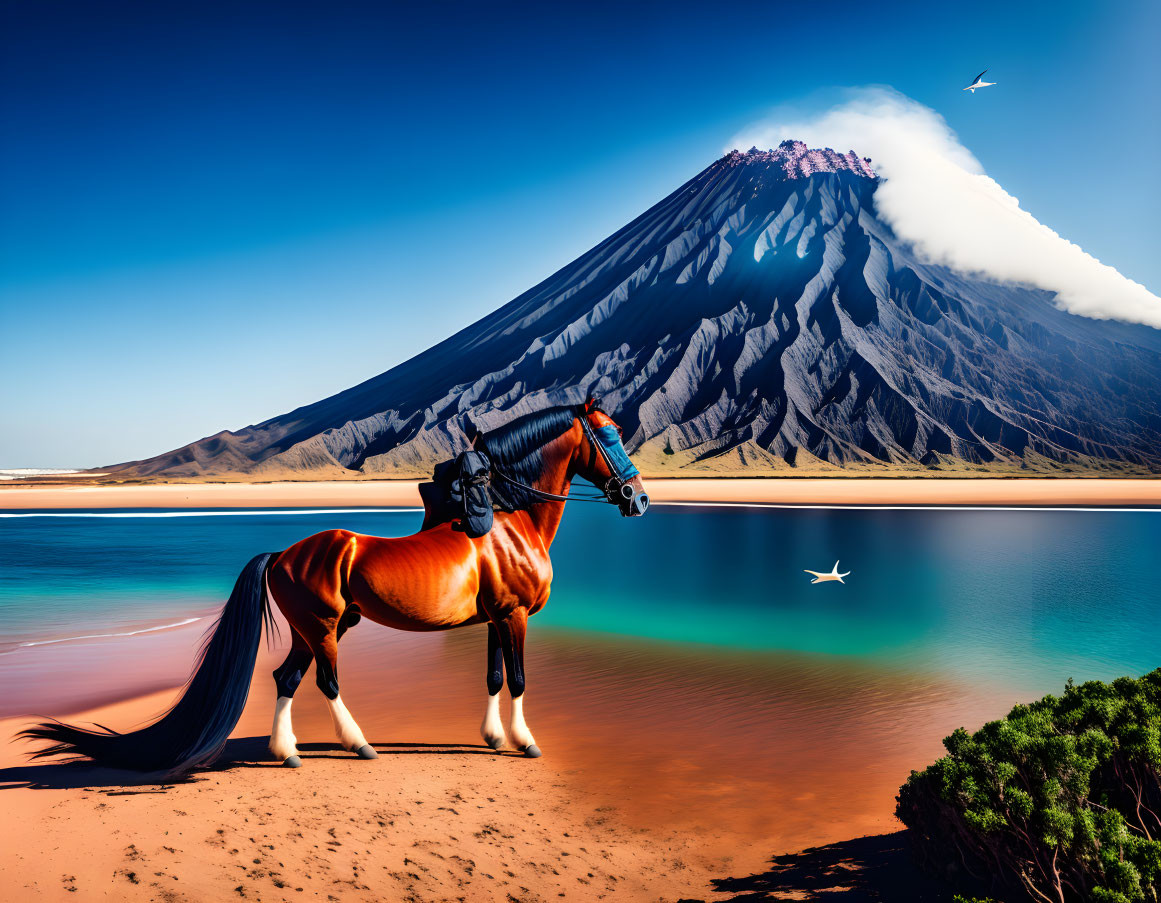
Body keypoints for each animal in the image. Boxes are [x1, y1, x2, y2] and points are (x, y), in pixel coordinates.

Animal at [18, 401, 650, 775]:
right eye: (611, 435)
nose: (639, 498)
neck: (509, 517)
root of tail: (282, 554)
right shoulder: (514, 616)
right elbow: (517, 679)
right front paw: (525, 742)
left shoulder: (496, 618)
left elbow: (495, 678)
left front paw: (495, 737)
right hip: (325, 627)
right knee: (324, 681)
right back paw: (357, 744)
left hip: (310, 629)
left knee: (285, 678)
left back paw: (287, 752)